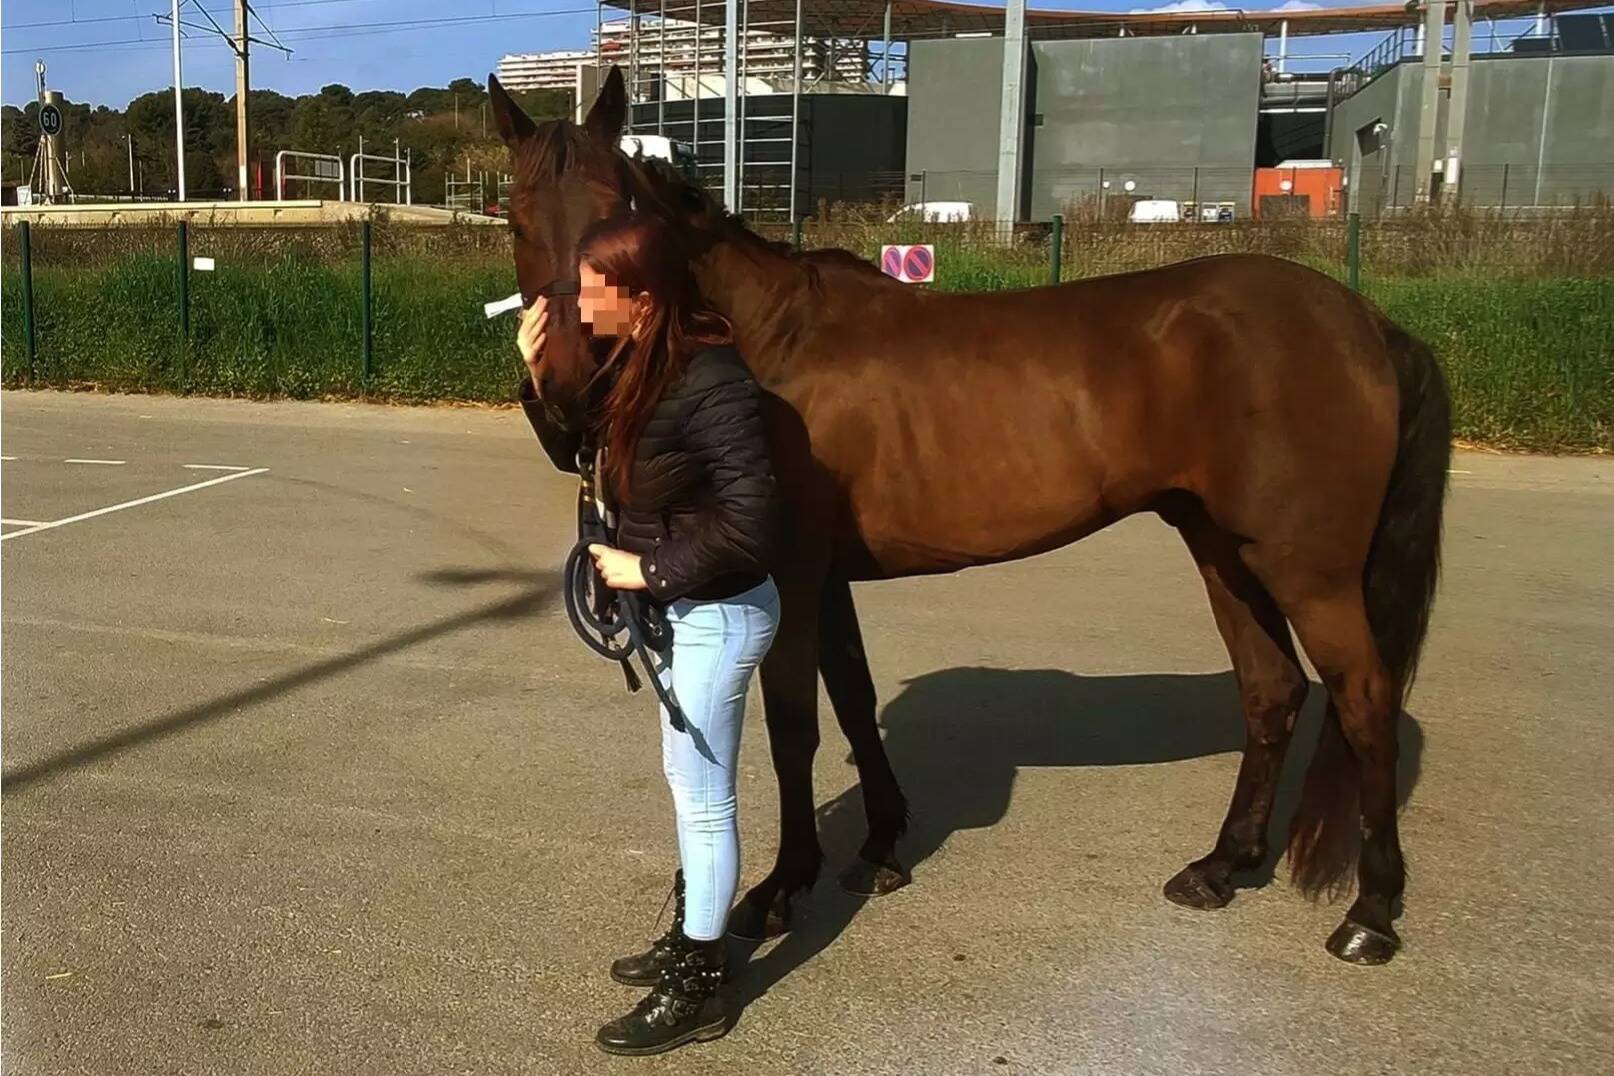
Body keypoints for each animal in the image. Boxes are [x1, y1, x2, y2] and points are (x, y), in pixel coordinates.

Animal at [489, 69, 1449, 966]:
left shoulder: (790, 574)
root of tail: (1364, 320)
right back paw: (1222, 866)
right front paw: (881, 846)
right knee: (1272, 692)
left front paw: (782, 885)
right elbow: (854, 698)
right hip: (1224, 550)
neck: (772, 339)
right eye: (518, 218)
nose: (569, 382)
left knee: (1363, 701)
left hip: (1307, 569)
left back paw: (1370, 915)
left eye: (618, 213)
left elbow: (795, 726)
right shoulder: (828, 579)